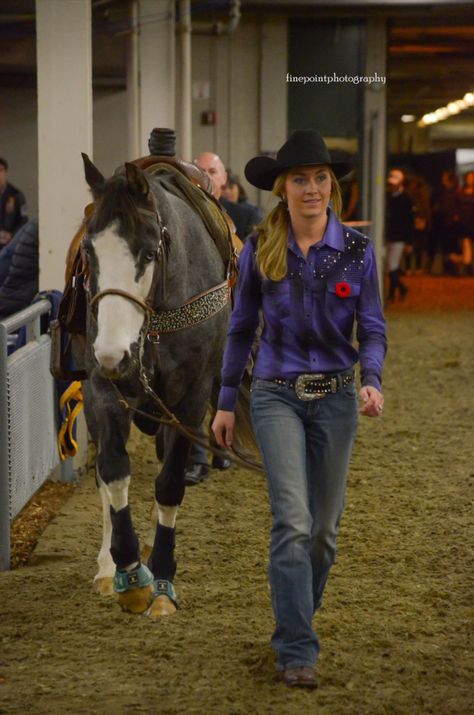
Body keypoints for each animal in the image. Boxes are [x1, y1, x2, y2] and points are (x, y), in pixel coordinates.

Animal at [78, 154, 239, 620]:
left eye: (149, 252)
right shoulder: (102, 389)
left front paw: (163, 581)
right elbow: (113, 471)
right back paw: (106, 566)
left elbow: (169, 485)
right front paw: (127, 573)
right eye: (89, 251)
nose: (113, 353)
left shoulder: (190, 400)